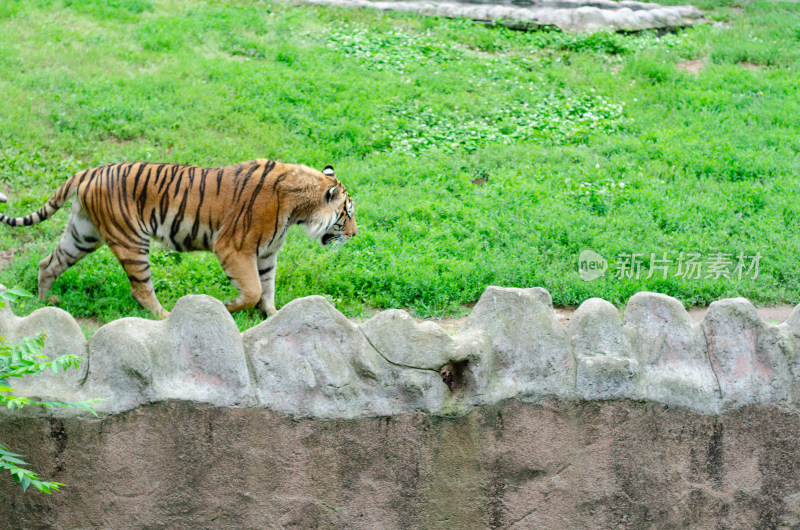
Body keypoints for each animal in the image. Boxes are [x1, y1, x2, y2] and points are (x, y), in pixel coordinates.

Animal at [0, 159, 356, 318]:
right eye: (347, 213)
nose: (354, 235)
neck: (299, 209)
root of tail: (90, 170)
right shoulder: (233, 248)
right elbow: (253, 289)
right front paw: (228, 307)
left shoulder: (267, 253)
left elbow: (267, 288)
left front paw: (273, 315)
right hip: (131, 240)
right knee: (141, 288)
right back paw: (167, 317)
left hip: (83, 235)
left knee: (48, 263)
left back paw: (45, 301)